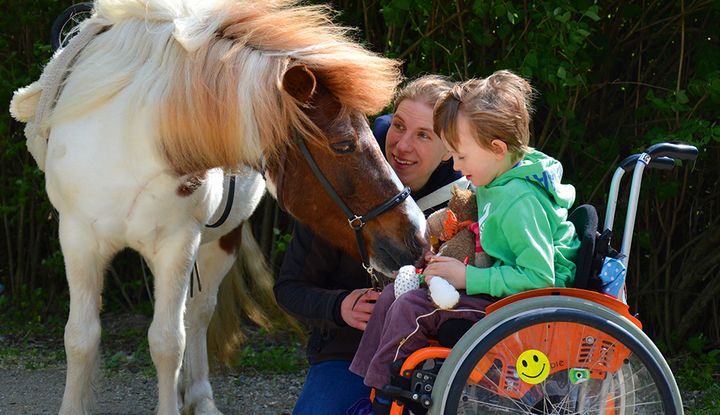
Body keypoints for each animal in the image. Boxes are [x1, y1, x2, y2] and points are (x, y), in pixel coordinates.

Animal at [9, 1, 428, 414]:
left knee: (195, 315)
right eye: (343, 144)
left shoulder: (178, 244)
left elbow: (168, 341)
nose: (418, 235)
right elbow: (80, 338)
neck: (130, 141)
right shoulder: (78, 239)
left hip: (220, 242)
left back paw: (198, 397)